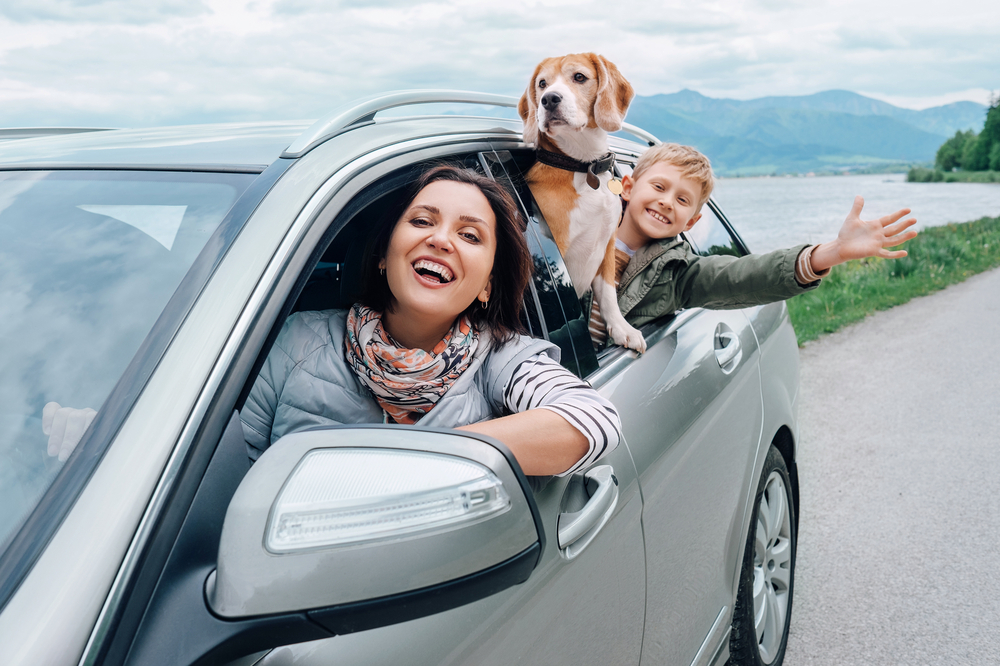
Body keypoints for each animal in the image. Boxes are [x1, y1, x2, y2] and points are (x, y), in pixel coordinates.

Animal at [520, 53, 644, 352]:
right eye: (542, 84)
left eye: (579, 77)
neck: (583, 166)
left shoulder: (608, 242)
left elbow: (608, 294)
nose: (549, 99)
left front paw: (622, 329)